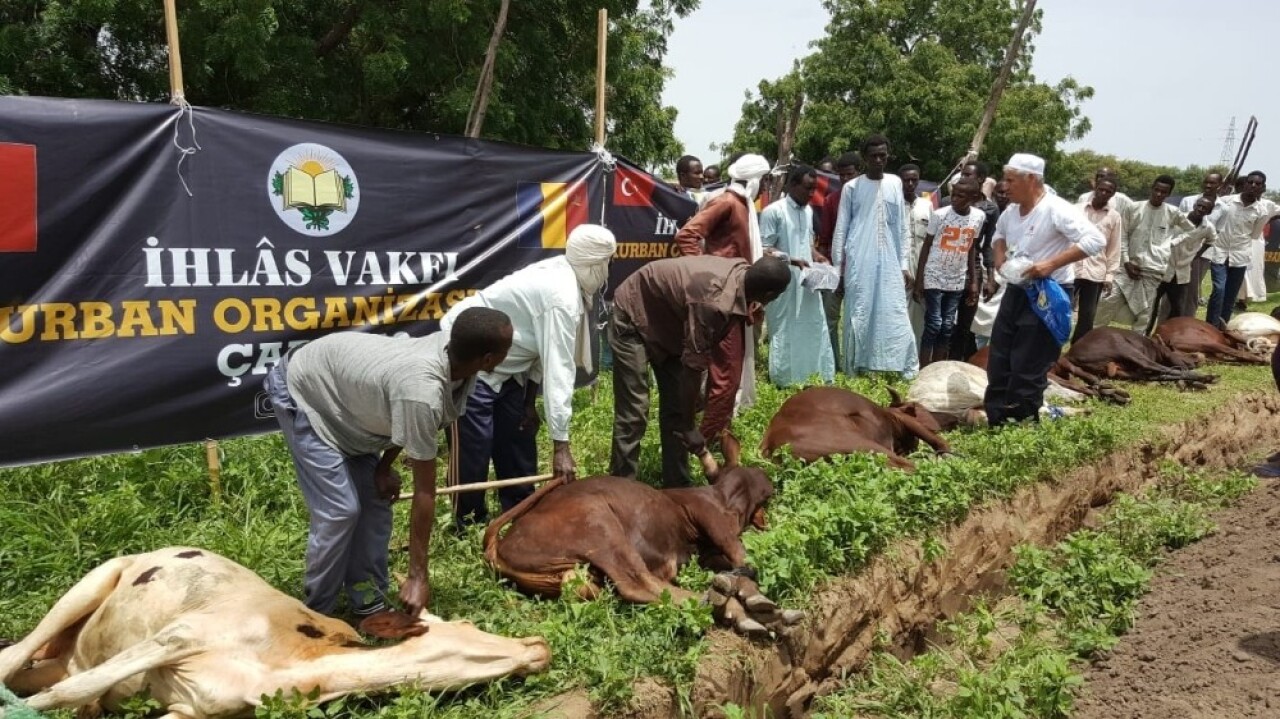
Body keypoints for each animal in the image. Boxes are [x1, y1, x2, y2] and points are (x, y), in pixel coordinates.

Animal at [483, 434, 768, 601]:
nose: (769, 483)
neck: (725, 498)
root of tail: (497, 548)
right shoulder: (711, 518)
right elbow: (742, 555)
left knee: (584, 586)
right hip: (601, 528)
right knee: (638, 584)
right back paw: (708, 598)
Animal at [1059, 327, 1218, 388]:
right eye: (1176, 350)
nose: (1196, 360)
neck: (1156, 349)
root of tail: (1069, 355)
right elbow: (1172, 368)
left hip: (1123, 370)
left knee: (1155, 374)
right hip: (1123, 347)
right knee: (1158, 369)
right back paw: (1206, 377)